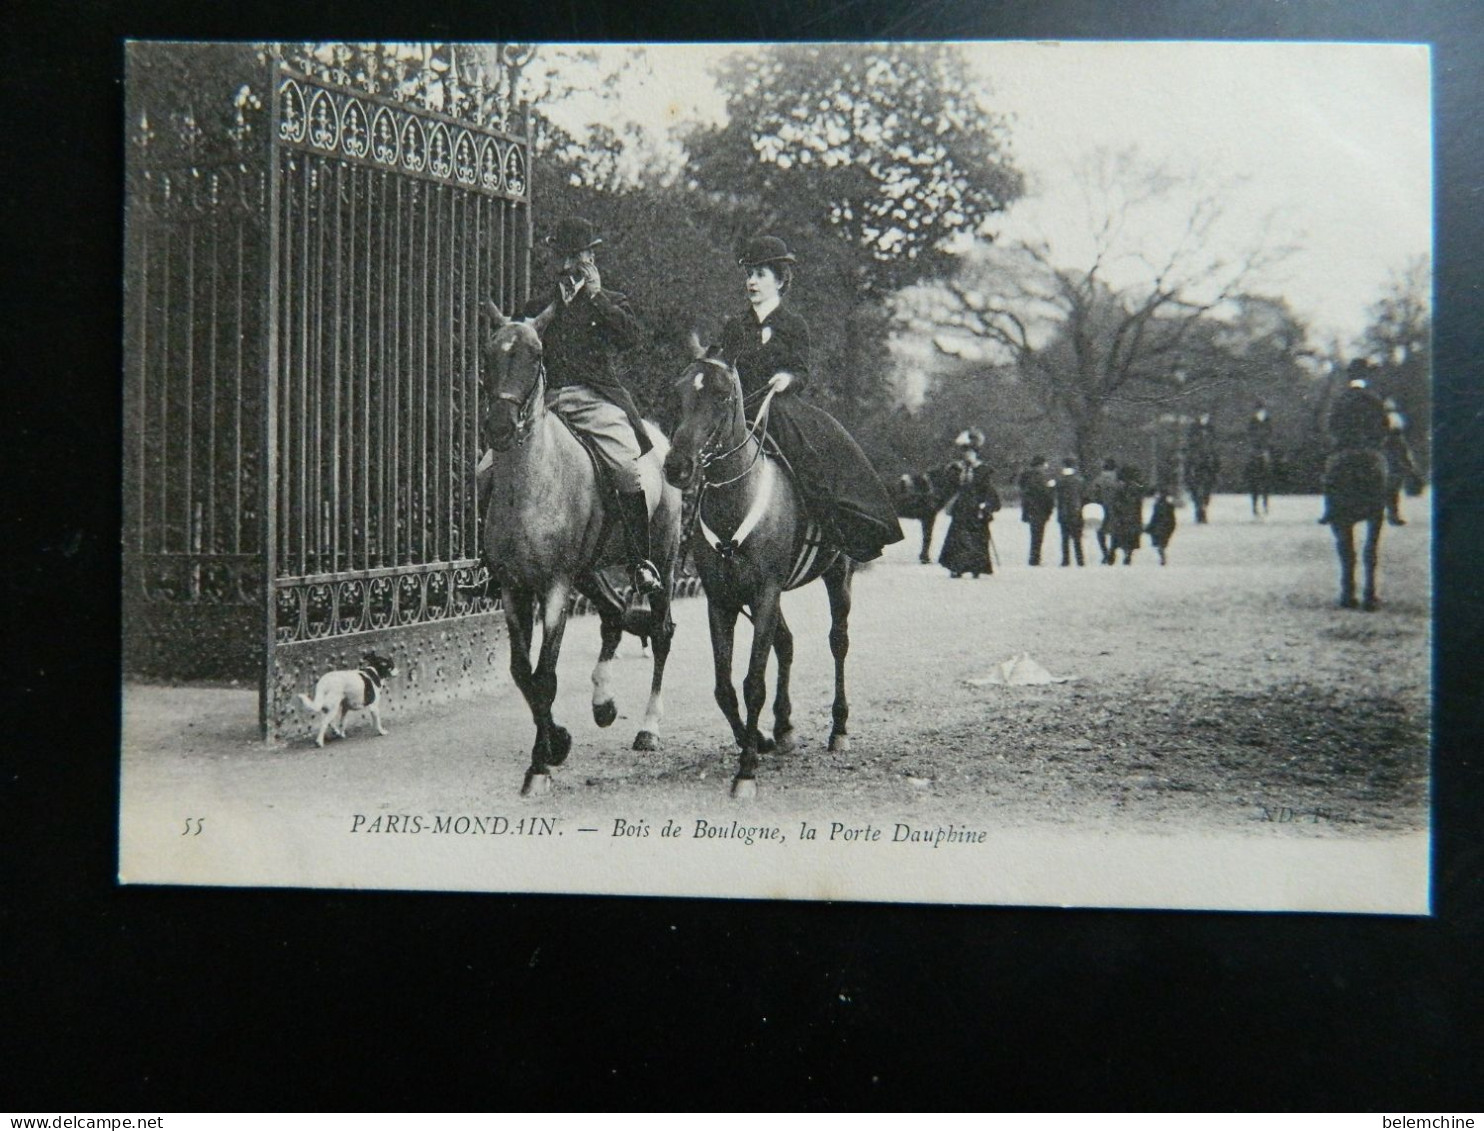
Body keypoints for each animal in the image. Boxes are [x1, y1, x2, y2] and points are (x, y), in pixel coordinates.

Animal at [477, 299, 679, 795]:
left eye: (535, 354)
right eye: (490, 353)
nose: (499, 427)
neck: (530, 483)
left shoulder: (554, 587)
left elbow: (545, 676)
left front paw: (540, 764)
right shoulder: (512, 588)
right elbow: (522, 673)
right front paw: (557, 742)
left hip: (663, 560)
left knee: (661, 633)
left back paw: (648, 728)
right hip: (590, 571)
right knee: (614, 615)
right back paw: (603, 702)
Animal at [664, 348, 860, 795]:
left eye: (722, 396)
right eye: (679, 392)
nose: (677, 468)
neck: (737, 497)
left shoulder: (765, 593)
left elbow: (753, 681)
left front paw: (747, 769)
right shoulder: (722, 601)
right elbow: (724, 686)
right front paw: (758, 739)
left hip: (837, 575)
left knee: (838, 641)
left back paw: (838, 728)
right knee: (785, 644)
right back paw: (783, 727)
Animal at [1329, 448, 1383, 608]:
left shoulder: (1340, 521)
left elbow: (1346, 552)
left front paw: (1348, 595)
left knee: (1352, 552)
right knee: (1367, 552)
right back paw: (1367, 598)